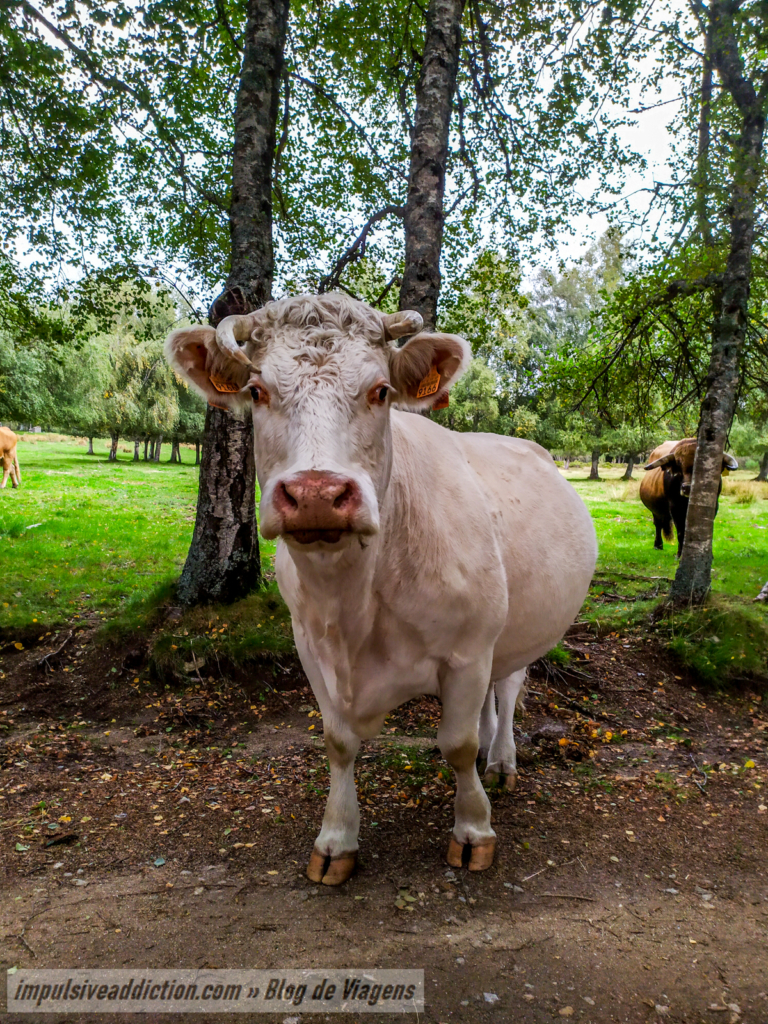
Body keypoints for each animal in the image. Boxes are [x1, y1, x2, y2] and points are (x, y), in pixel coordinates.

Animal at [166, 294, 597, 884]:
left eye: (381, 391)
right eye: (256, 391)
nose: (317, 494)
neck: (354, 604)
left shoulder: (467, 651)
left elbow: (456, 744)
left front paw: (473, 830)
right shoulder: (311, 647)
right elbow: (339, 742)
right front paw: (336, 840)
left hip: (515, 631)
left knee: (507, 689)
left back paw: (501, 760)